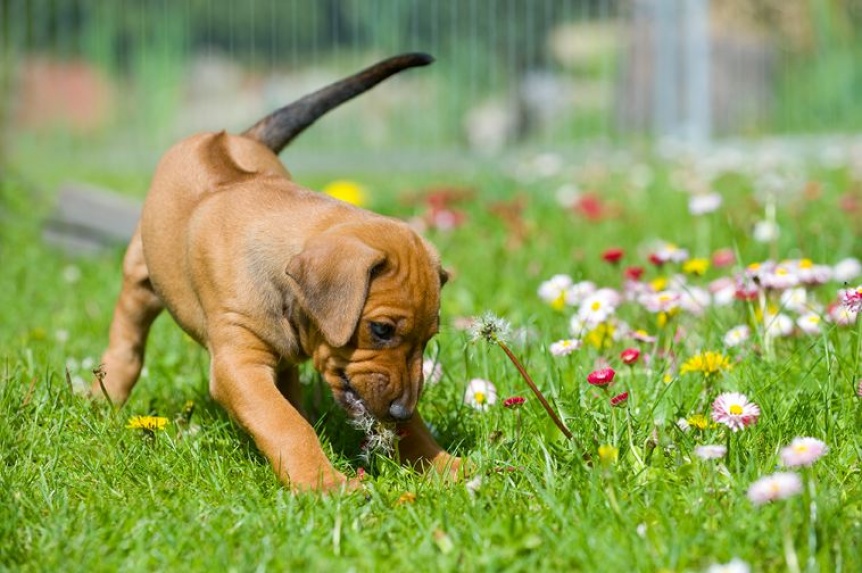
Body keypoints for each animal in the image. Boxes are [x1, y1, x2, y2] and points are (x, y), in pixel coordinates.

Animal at [91, 53, 462, 490]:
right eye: (381, 330)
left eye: (429, 338)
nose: (402, 410)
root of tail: (237, 135)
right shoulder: (238, 363)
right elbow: (283, 422)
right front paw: (324, 483)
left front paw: (446, 465)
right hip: (141, 272)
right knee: (128, 335)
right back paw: (105, 393)